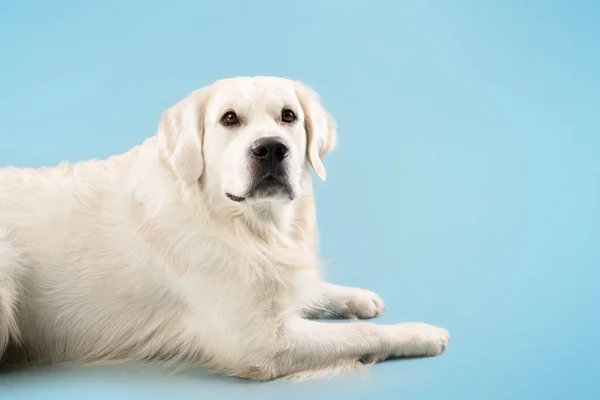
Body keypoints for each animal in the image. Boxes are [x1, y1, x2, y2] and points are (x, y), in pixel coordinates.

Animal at [0, 76, 450, 380]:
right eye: (229, 119)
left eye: (288, 116)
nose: (271, 149)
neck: (243, 223)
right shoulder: (261, 342)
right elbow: (363, 336)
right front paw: (420, 333)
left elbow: (305, 288)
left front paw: (354, 297)